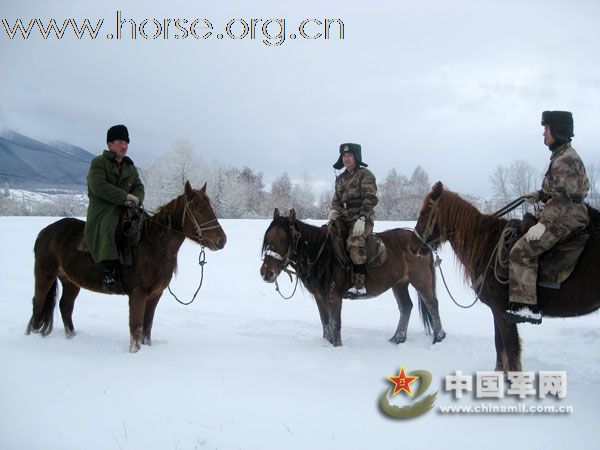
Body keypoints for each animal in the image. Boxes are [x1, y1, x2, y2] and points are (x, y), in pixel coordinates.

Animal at [24, 181, 226, 354]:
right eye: (198, 209)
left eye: (210, 207)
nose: (222, 240)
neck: (153, 245)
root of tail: (45, 232)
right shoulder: (138, 294)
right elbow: (136, 326)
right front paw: (134, 353)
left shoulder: (155, 294)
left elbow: (147, 325)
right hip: (45, 275)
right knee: (38, 304)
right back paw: (30, 337)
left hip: (71, 281)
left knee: (65, 307)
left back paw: (71, 338)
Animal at [258, 209, 446, 346]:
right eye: (267, 238)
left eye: (284, 239)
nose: (266, 273)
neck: (322, 254)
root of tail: (421, 242)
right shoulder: (320, 295)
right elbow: (325, 321)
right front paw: (328, 344)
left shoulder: (334, 295)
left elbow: (335, 322)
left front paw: (337, 347)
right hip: (399, 284)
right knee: (406, 307)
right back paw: (398, 338)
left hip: (420, 280)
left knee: (432, 304)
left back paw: (438, 337)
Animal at [412, 181, 600, 370]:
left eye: (424, 212)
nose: (415, 245)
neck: (487, 246)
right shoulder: (496, 311)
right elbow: (499, 344)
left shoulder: (502, 311)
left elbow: (511, 349)